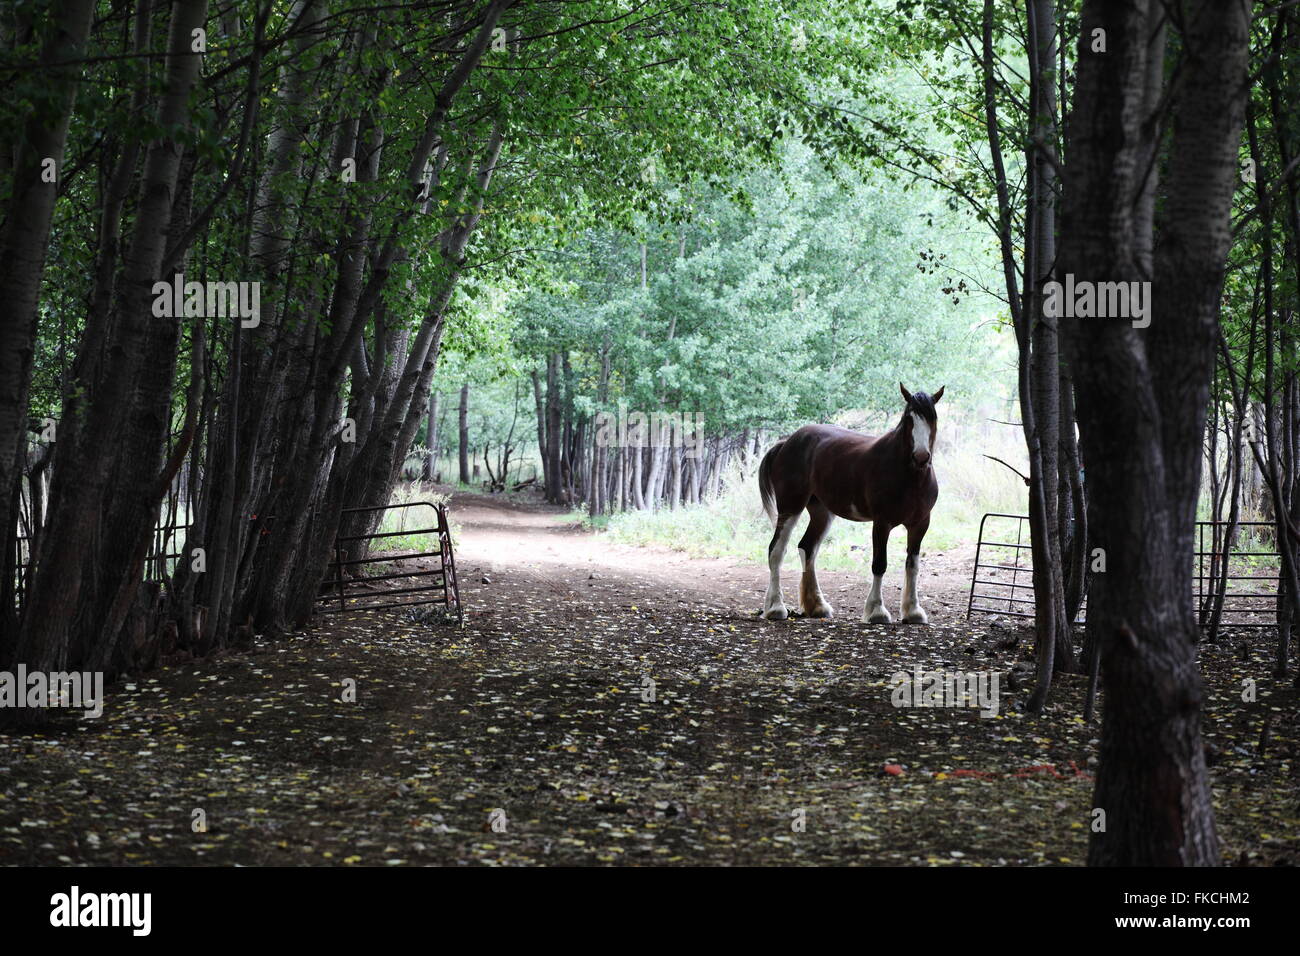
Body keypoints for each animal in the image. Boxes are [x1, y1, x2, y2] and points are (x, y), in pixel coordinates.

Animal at [757, 383, 943, 624]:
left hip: (822, 513)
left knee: (807, 548)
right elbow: (879, 564)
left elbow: (913, 566)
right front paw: (876, 611)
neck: (910, 475)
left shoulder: (920, 524)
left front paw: (913, 612)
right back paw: (775, 608)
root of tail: (786, 443)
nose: (921, 456)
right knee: (776, 551)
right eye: (908, 418)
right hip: (790, 507)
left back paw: (817, 607)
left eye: (932, 417)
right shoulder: (882, 523)